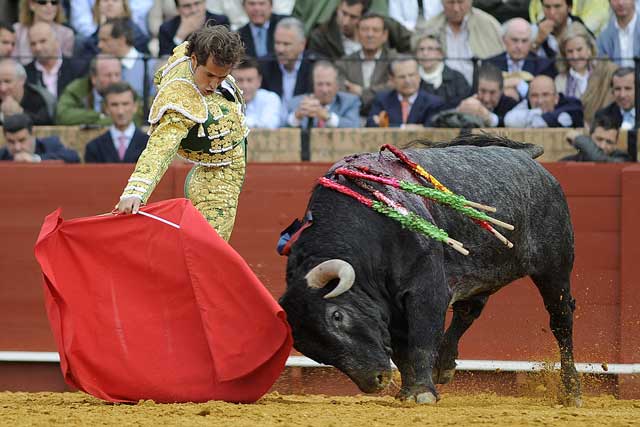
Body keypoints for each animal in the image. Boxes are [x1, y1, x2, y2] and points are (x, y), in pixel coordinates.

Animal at [278, 136, 584, 404]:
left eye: (337, 316)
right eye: (312, 350)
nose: (375, 380)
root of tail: (528, 158)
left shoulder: (427, 291)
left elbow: (422, 339)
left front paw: (423, 393)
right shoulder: (389, 304)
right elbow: (402, 350)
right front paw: (409, 391)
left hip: (554, 267)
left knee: (561, 320)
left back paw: (571, 392)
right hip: (483, 270)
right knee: (468, 311)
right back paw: (444, 365)